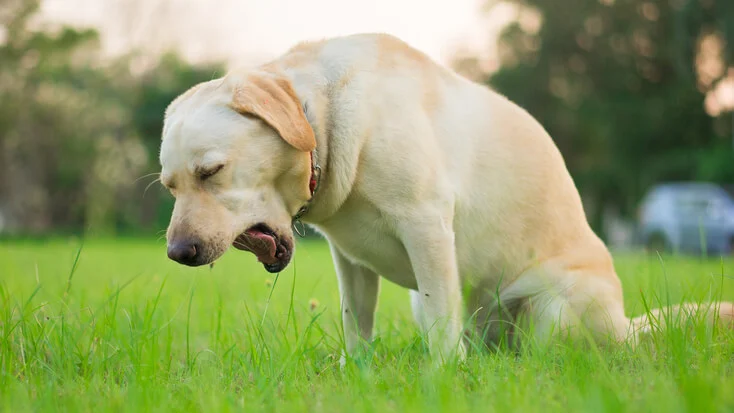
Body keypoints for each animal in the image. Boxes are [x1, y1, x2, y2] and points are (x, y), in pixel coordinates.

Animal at [161, 34, 734, 364]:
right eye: (170, 185)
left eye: (211, 171)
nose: (178, 253)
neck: (322, 116)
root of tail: (627, 329)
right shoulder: (349, 259)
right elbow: (356, 322)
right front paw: (357, 373)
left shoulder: (426, 226)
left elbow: (441, 324)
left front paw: (440, 379)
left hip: (554, 309)